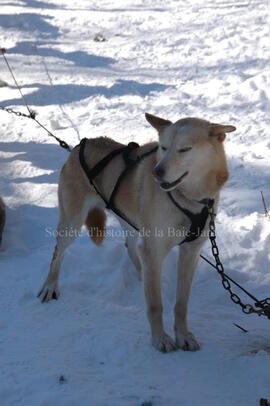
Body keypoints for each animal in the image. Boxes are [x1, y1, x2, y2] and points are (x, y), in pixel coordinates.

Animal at [37, 113, 234, 352]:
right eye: (163, 147)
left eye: (184, 149)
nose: (156, 173)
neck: (191, 200)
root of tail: (79, 146)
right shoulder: (154, 248)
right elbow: (156, 305)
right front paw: (160, 338)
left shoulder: (190, 252)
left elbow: (181, 303)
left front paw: (183, 334)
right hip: (72, 224)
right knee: (58, 253)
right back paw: (50, 286)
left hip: (131, 224)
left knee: (132, 250)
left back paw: (143, 274)